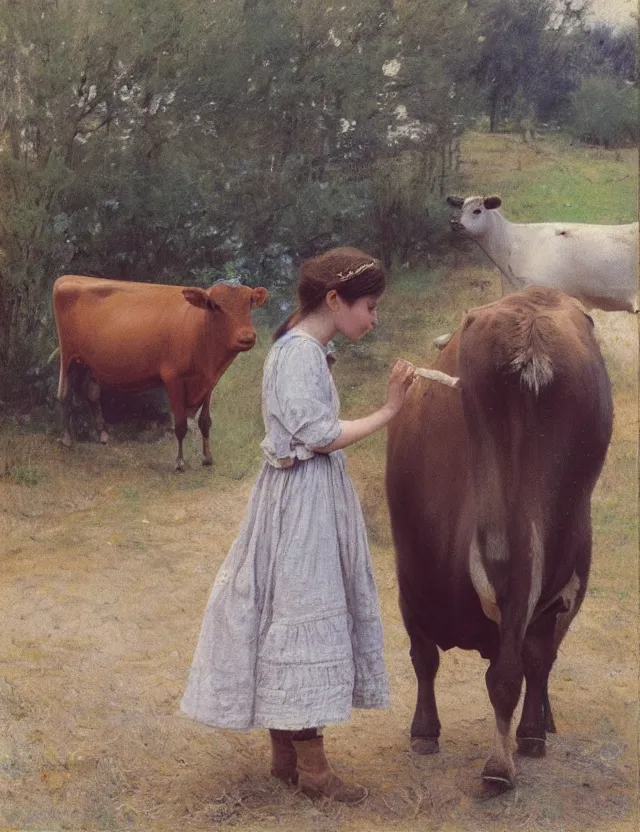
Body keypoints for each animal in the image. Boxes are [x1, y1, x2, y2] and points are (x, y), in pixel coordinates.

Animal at [52, 276, 268, 472]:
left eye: (250, 301)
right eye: (215, 305)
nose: (246, 336)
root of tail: (69, 278)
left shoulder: (209, 381)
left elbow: (205, 422)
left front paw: (208, 458)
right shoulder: (173, 378)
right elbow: (180, 425)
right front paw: (180, 462)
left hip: (88, 363)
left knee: (92, 392)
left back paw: (103, 436)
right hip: (68, 355)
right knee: (64, 394)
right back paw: (66, 439)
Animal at [384, 286, 616, 792]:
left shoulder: (411, 587)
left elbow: (424, 658)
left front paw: (426, 733)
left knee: (512, 666)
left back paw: (504, 759)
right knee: (528, 662)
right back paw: (520, 745)